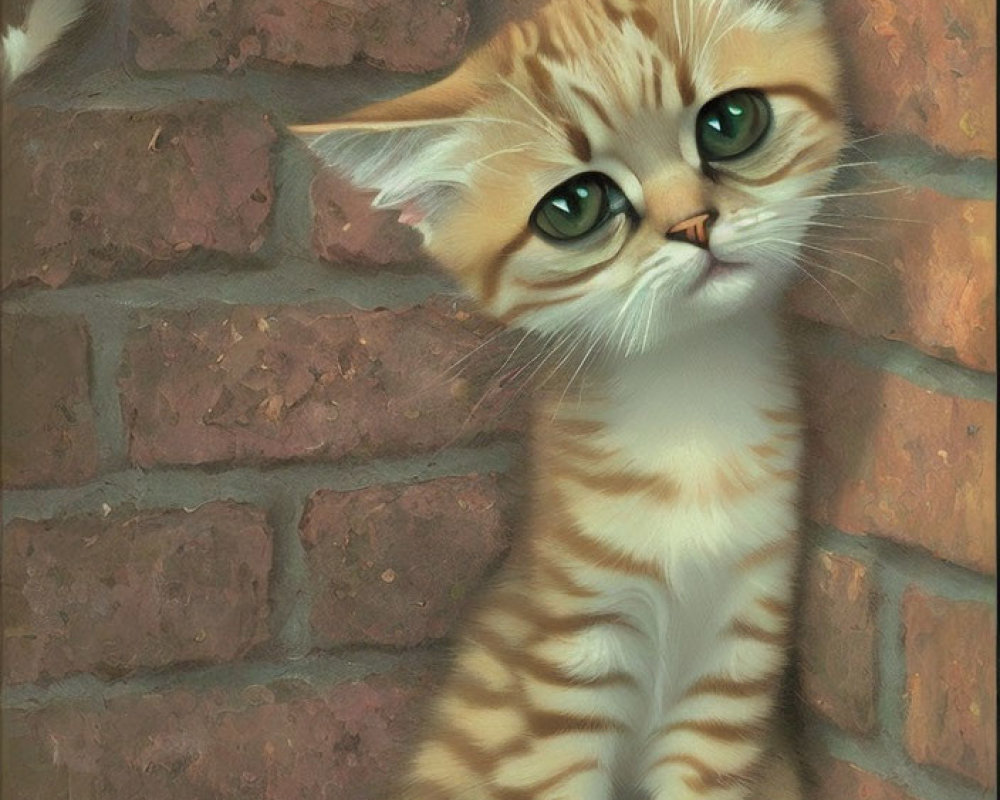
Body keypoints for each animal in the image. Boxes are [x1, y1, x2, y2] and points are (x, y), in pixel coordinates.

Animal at [292, 0, 844, 792]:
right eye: (577, 205)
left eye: (730, 123)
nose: (693, 225)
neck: (690, 400)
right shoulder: (564, 677)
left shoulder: (735, 671)